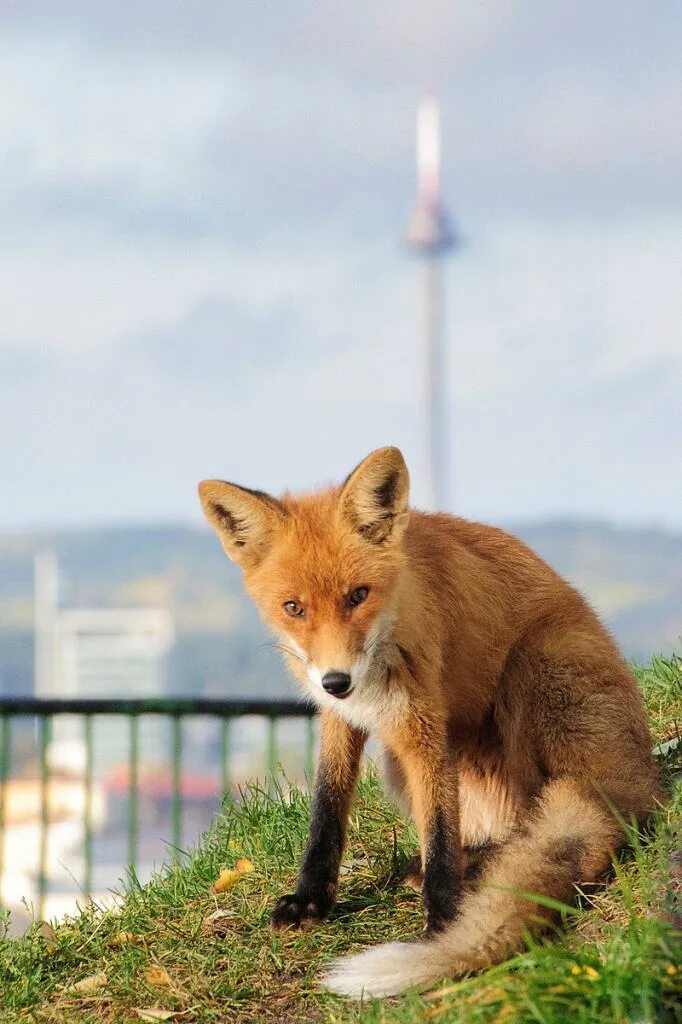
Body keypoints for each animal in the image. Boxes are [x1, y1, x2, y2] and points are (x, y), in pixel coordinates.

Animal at [196, 444, 659, 995]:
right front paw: (311, 899)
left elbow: (439, 826)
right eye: (294, 608)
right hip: (396, 765)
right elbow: (326, 809)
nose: (336, 680)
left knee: (540, 824)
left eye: (358, 595)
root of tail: (636, 777)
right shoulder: (339, 719)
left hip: (529, 674)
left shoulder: (423, 724)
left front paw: (444, 919)